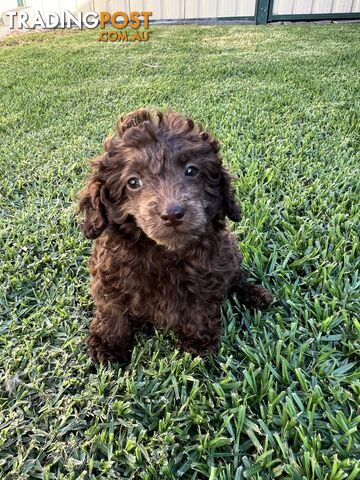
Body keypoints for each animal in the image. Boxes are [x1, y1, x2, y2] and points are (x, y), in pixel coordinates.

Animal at [77, 109, 272, 364]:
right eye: (133, 182)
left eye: (191, 170)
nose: (173, 214)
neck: (162, 251)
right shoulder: (110, 273)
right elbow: (112, 308)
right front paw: (108, 345)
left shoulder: (209, 270)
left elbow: (200, 308)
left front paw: (198, 344)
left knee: (236, 278)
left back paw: (255, 295)